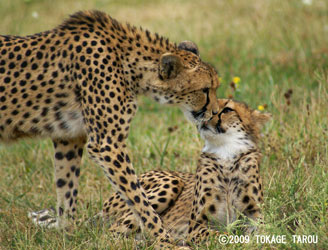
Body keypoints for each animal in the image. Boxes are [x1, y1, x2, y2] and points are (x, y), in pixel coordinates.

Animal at [1, 10, 220, 242]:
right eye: (205, 90)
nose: (216, 112)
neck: (129, 62)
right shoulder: (107, 144)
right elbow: (138, 199)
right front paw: (164, 240)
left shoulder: (69, 136)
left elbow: (66, 186)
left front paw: (68, 234)